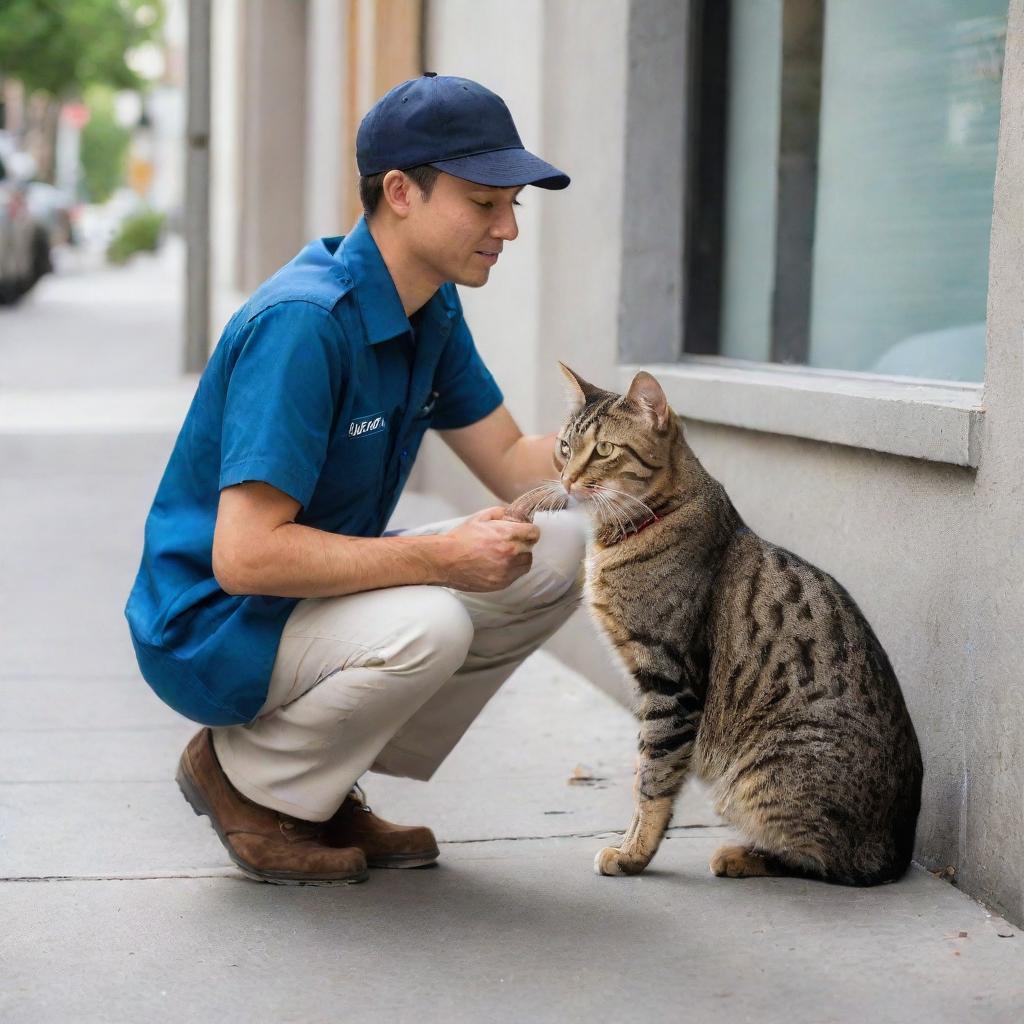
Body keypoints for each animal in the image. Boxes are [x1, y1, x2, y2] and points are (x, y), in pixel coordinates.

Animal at [516, 368, 925, 888]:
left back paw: (742, 855)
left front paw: (632, 853)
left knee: (833, 865)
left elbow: (652, 776)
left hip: (761, 776)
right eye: (565, 446)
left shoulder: (669, 679)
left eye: (604, 449)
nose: (567, 480)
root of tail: (899, 848)